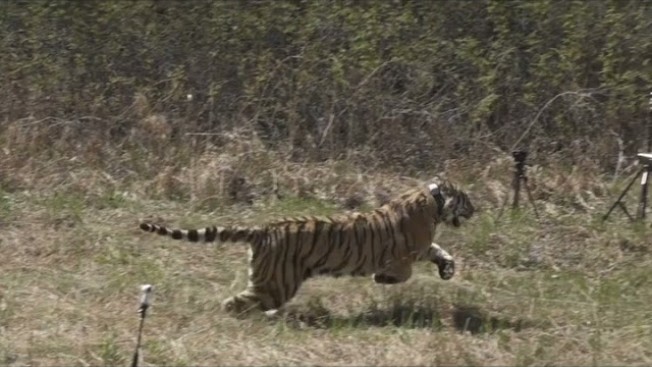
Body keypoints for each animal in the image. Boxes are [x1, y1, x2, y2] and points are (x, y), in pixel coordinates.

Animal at [139, 181, 474, 316]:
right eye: (467, 199)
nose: (476, 210)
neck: (435, 202)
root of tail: (263, 228)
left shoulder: (423, 246)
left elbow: (439, 250)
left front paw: (448, 268)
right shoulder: (405, 254)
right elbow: (404, 273)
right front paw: (381, 278)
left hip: (271, 281)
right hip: (277, 284)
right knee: (234, 303)